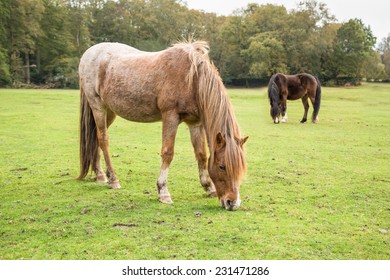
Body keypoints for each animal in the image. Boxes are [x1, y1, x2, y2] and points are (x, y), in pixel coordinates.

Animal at [78, 40, 248, 210]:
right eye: (222, 166)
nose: (232, 203)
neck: (192, 79)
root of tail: (89, 53)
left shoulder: (195, 123)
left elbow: (201, 155)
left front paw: (208, 187)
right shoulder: (170, 117)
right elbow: (168, 153)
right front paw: (163, 192)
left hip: (110, 112)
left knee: (95, 138)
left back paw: (100, 175)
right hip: (98, 107)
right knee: (103, 140)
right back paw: (113, 179)